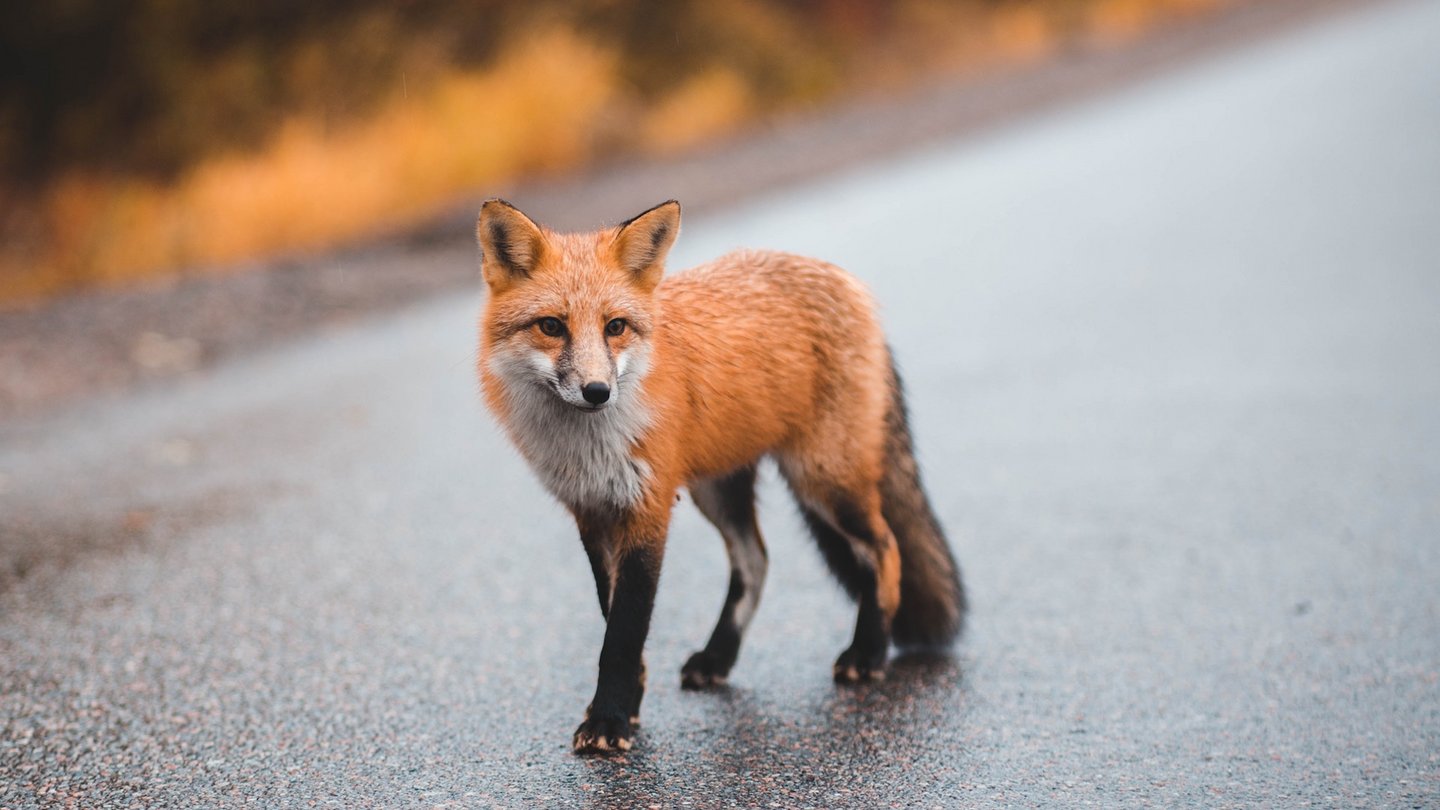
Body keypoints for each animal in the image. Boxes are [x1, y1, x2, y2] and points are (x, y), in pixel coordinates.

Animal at [475, 198, 967, 755]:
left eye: (615, 327)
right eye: (552, 326)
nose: (598, 391)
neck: (589, 447)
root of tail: (843, 278)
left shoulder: (648, 508)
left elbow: (623, 632)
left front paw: (609, 720)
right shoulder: (592, 512)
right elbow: (612, 617)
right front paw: (628, 704)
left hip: (823, 480)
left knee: (884, 549)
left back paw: (868, 653)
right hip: (719, 490)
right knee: (756, 560)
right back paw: (719, 658)